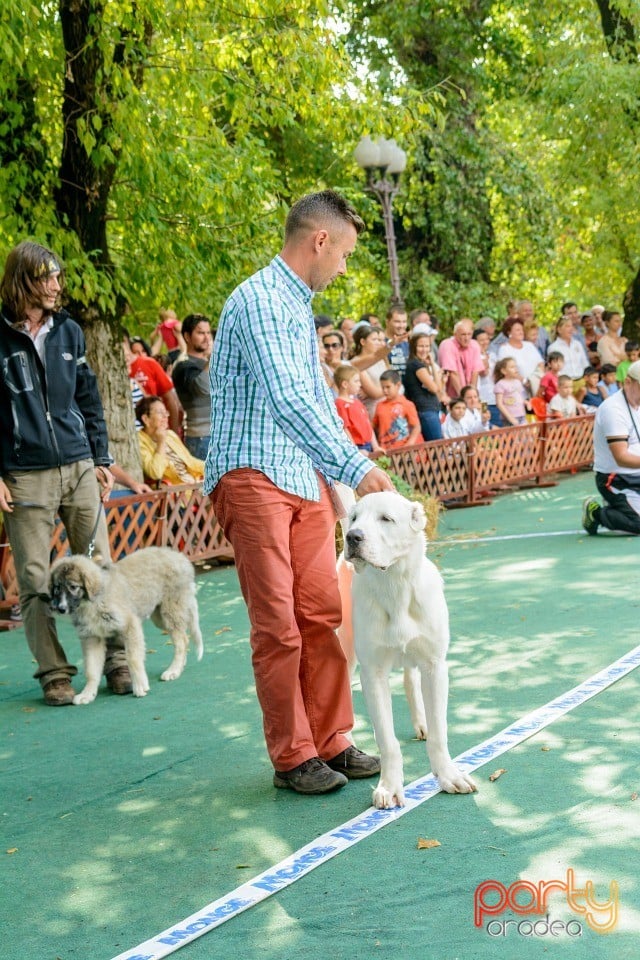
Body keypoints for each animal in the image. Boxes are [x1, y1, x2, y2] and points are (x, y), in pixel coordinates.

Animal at [48, 548, 204, 704]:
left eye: (73, 587)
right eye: (57, 588)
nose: (60, 609)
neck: (91, 603)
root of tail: (179, 556)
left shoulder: (130, 625)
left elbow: (133, 659)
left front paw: (140, 685)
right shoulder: (92, 638)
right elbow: (91, 669)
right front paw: (88, 694)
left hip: (170, 611)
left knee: (182, 641)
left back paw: (173, 670)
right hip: (160, 617)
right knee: (184, 638)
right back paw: (180, 666)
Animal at [344, 492, 476, 808]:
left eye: (386, 519)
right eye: (354, 518)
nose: (351, 536)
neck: (393, 586)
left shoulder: (434, 666)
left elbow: (440, 733)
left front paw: (447, 775)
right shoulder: (372, 674)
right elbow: (386, 740)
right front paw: (390, 786)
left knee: (410, 681)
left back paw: (421, 723)